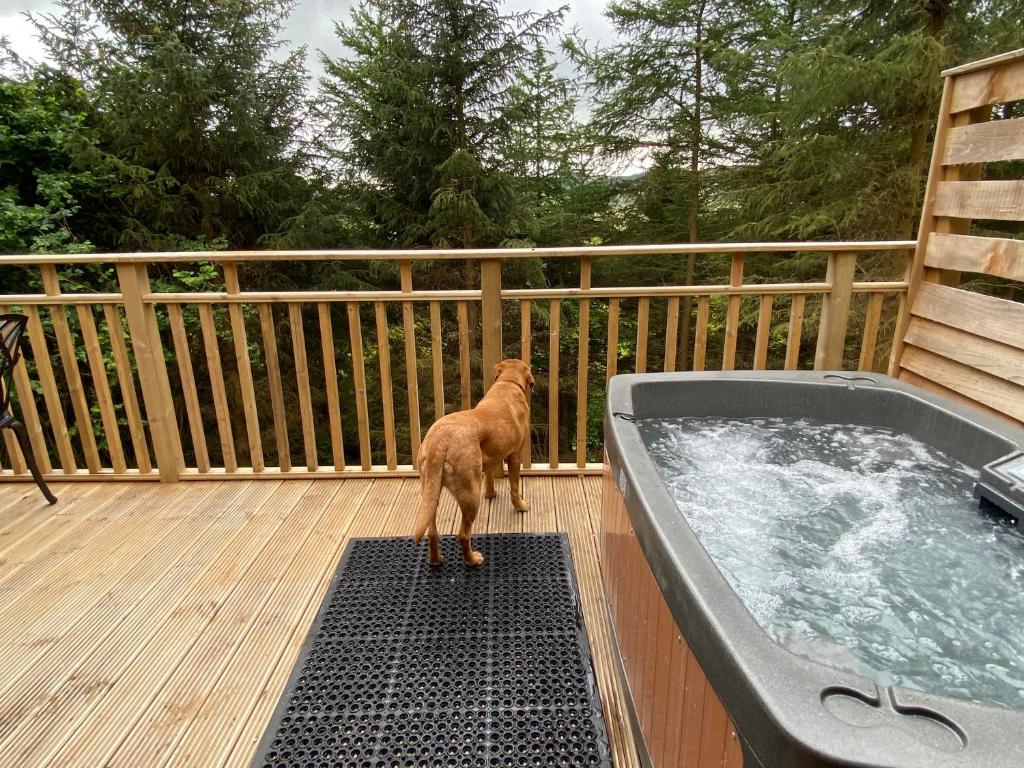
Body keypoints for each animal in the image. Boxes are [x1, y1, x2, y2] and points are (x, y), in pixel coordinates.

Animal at [411, 360, 536, 565]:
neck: (507, 382)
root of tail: (439, 442)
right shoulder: (515, 455)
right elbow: (514, 488)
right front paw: (521, 506)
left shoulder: (492, 457)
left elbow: (491, 476)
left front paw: (491, 493)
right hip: (470, 495)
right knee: (463, 535)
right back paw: (472, 559)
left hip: (430, 491)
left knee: (432, 531)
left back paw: (436, 560)